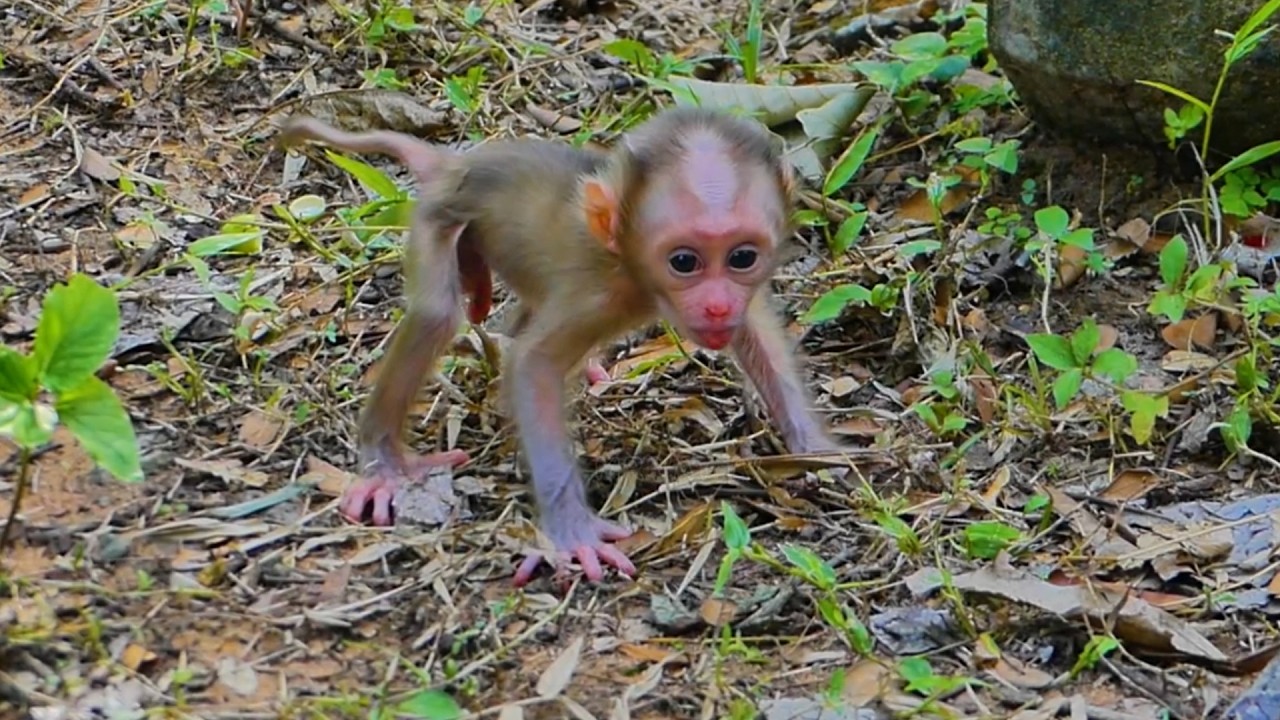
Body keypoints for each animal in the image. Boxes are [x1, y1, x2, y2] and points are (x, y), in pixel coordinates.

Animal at [277, 108, 845, 586]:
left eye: (742, 257)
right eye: (684, 262)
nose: (718, 306)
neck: (628, 266)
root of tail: (457, 163)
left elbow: (758, 334)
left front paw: (818, 446)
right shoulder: (599, 296)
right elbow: (533, 366)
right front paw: (572, 531)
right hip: (439, 216)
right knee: (438, 316)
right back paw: (384, 464)